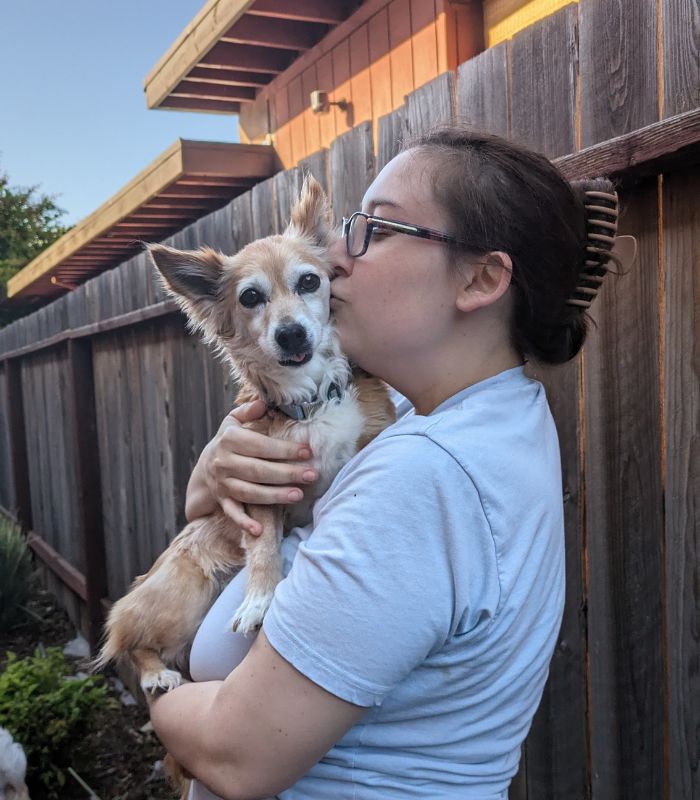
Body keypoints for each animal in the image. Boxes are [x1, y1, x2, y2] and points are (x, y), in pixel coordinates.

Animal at [93, 173, 396, 692]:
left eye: (310, 281)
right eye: (250, 297)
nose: (291, 334)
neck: (310, 401)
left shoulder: (372, 432)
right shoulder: (261, 489)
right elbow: (265, 551)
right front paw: (258, 600)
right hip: (187, 589)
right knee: (131, 645)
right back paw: (157, 674)